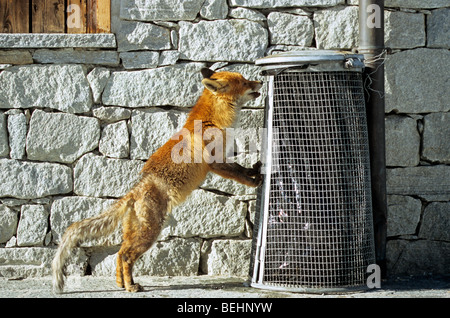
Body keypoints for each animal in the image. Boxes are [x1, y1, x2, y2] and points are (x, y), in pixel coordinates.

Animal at [51, 67, 264, 294]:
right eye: (244, 82)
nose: (260, 81)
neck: (212, 120)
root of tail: (134, 192)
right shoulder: (216, 163)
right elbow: (238, 174)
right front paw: (254, 181)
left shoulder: (223, 159)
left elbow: (240, 168)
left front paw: (255, 170)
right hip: (149, 233)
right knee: (127, 257)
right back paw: (131, 287)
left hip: (136, 232)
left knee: (119, 253)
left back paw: (122, 284)